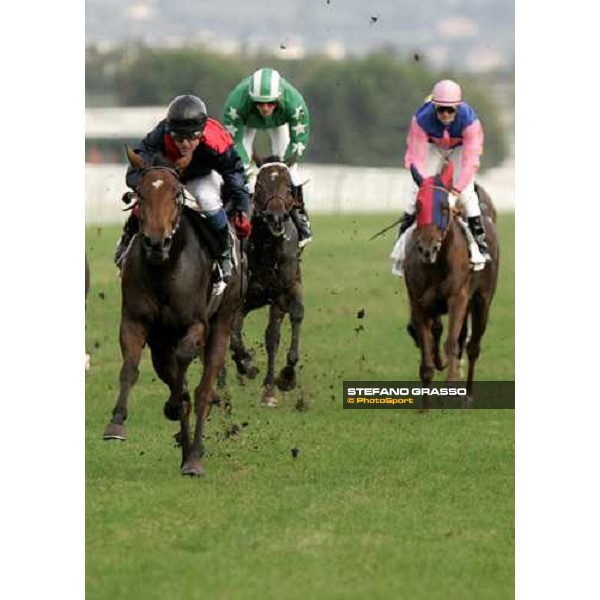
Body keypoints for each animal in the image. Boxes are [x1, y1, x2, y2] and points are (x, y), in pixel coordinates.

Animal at [103, 148, 241, 476]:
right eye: (139, 193)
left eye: (177, 194)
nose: (156, 242)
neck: (164, 269)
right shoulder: (135, 321)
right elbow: (129, 367)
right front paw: (116, 424)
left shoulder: (197, 324)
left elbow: (186, 359)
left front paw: (174, 405)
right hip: (160, 344)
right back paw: (185, 449)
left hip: (223, 322)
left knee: (203, 391)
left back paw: (195, 457)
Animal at [230, 157, 304, 406]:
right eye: (259, 185)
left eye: (288, 186)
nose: (276, 217)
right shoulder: (239, 298)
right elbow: (234, 335)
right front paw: (247, 365)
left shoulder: (285, 289)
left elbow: (284, 326)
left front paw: (284, 379)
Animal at [404, 161, 502, 404]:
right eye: (418, 206)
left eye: (443, 208)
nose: (427, 249)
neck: (436, 265)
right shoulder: (418, 302)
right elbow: (427, 348)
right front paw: (425, 404)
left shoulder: (458, 298)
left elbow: (452, 342)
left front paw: (451, 382)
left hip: (482, 301)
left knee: (472, 346)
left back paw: (467, 395)